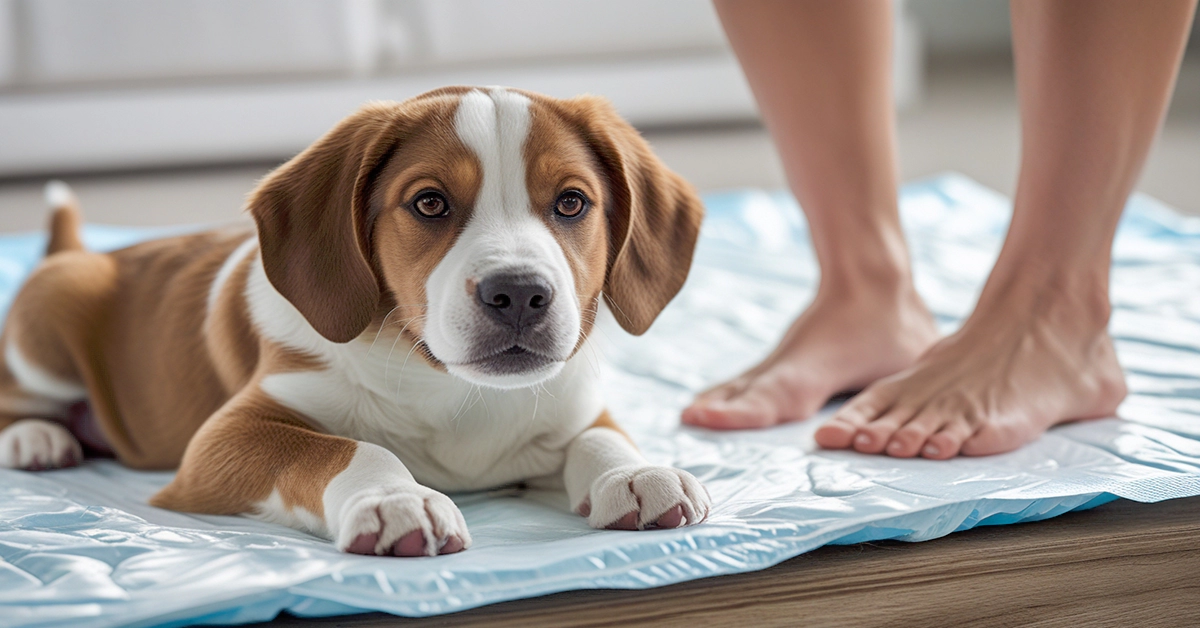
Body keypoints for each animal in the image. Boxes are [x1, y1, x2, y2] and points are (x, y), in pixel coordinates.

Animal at [0, 85, 710, 557]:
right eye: (429, 202)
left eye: (571, 203)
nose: (519, 293)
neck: (448, 386)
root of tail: (89, 252)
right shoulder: (224, 440)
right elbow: (341, 447)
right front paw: (395, 498)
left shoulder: (575, 401)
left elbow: (601, 436)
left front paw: (633, 474)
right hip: (49, 323)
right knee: (20, 393)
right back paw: (36, 438)